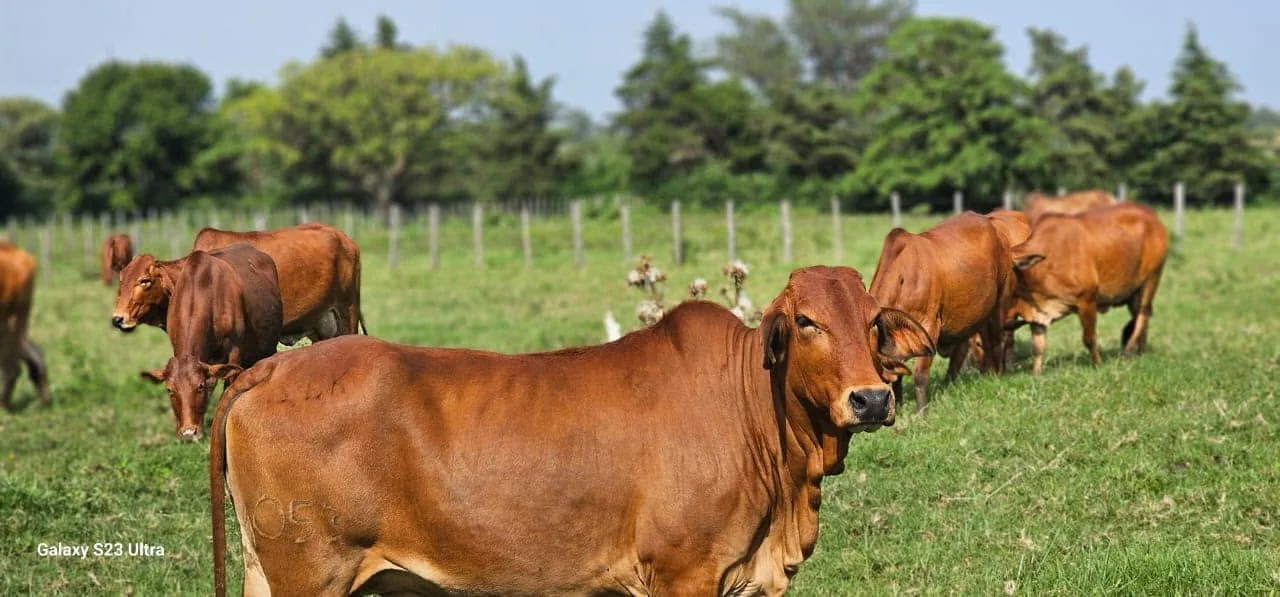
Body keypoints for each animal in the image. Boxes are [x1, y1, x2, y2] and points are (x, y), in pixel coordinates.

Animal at [208, 266, 936, 597]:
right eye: (808, 321)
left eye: (874, 320)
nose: (871, 398)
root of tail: (271, 366)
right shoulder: (683, 573)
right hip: (311, 574)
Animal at [869, 212, 1014, 413]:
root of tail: (991, 222)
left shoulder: (929, 326)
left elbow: (919, 374)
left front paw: (920, 412)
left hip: (1001, 300)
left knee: (998, 338)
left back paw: (997, 374)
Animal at [1005, 202, 1168, 375]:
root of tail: (1151, 214)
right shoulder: (1038, 313)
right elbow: (1038, 346)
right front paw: (1035, 373)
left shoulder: (1087, 301)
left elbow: (1089, 339)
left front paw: (1098, 364)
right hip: (1134, 292)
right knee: (1138, 316)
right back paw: (1140, 352)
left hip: (1151, 279)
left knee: (1143, 314)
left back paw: (1128, 351)